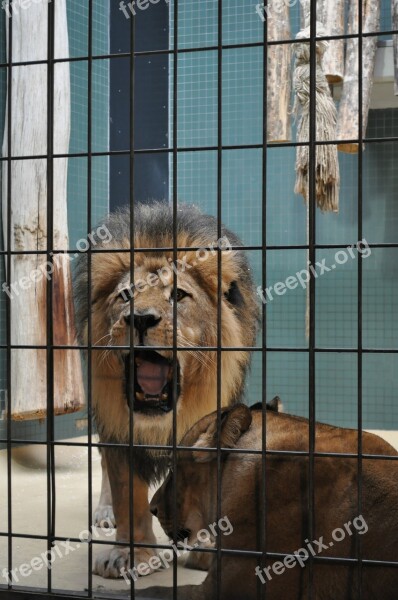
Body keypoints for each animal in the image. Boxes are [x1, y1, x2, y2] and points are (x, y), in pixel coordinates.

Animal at [72, 204, 260, 580]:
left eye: (178, 295)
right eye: (126, 295)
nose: (141, 319)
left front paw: (205, 547)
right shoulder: (120, 427)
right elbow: (127, 491)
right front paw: (131, 555)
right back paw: (105, 512)